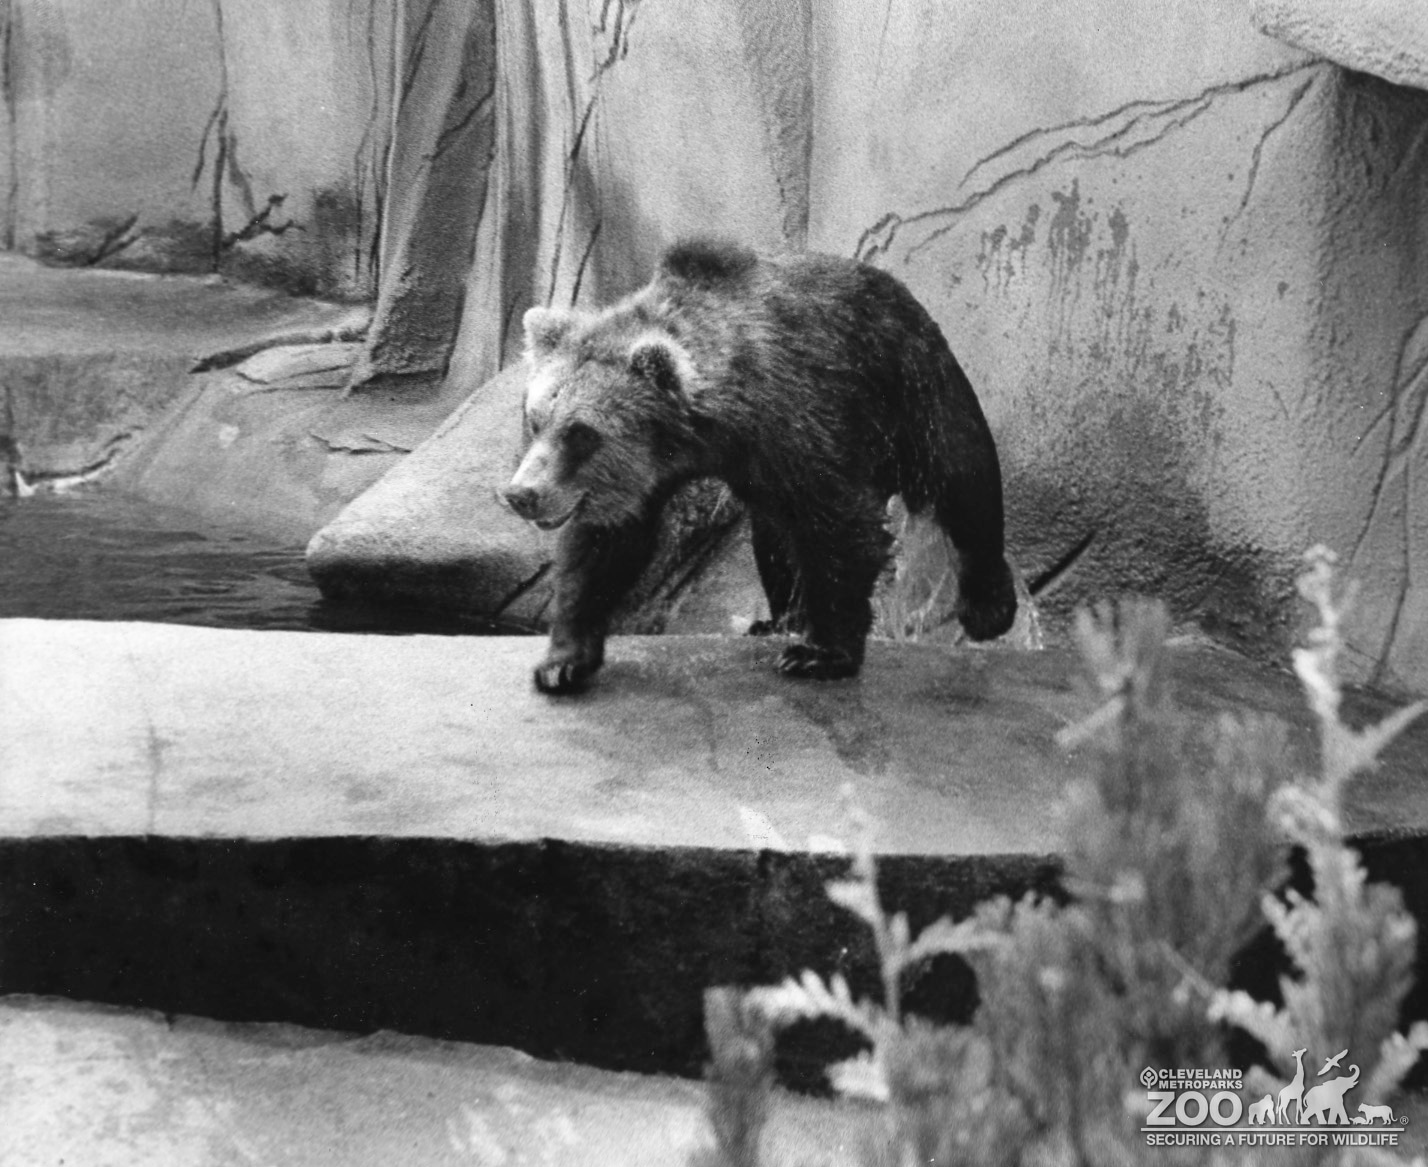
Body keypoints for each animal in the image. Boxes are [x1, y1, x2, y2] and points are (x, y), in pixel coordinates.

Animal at [502, 239, 1016, 694]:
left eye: (582, 432)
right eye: (535, 419)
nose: (523, 494)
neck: (720, 422)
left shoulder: (801, 423)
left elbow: (840, 528)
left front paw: (819, 653)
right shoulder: (646, 476)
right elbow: (602, 549)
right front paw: (562, 662)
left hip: (912, 386)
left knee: (963, 478)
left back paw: (989, 607)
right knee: (772, 537)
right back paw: (779, 619)